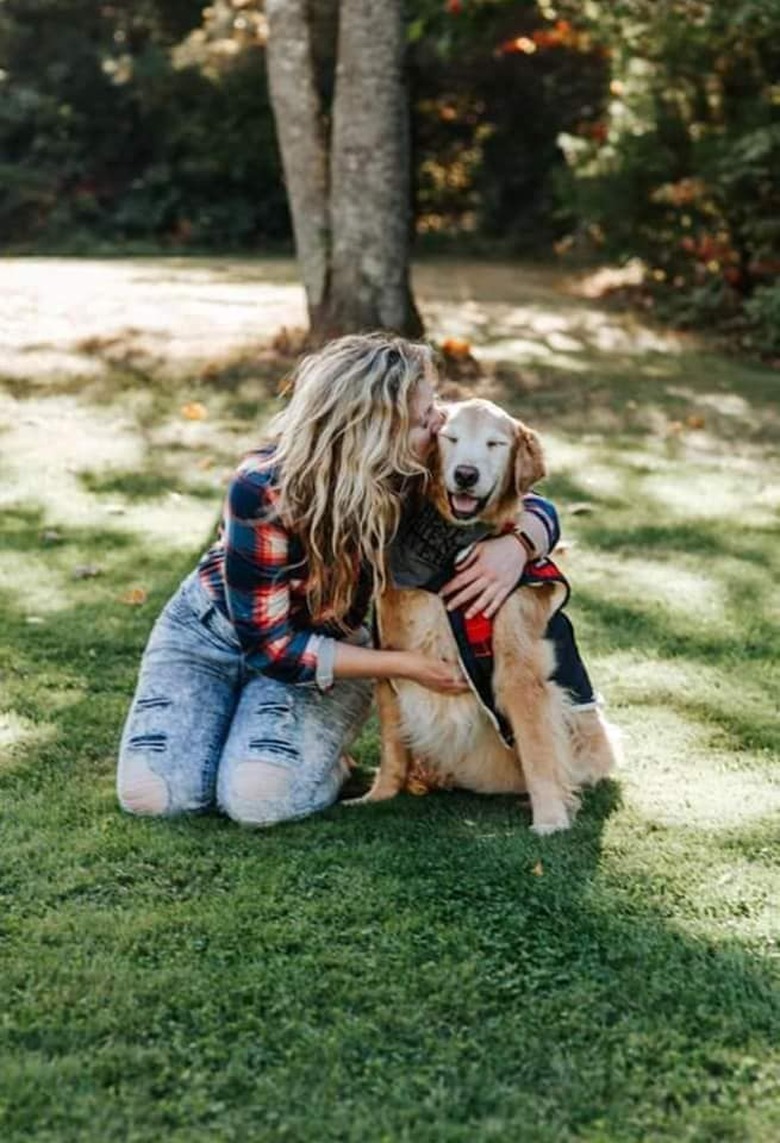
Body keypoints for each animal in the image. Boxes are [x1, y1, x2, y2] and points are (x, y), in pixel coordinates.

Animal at [354, 397, 617, 836]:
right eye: (451, 438)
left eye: (495, 444)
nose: (466, 474)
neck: (448, 553)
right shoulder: (391, 656)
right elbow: (393, 746)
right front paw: (378, 796)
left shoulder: (518, 670)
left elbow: (537, 750)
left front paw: (549, 819)